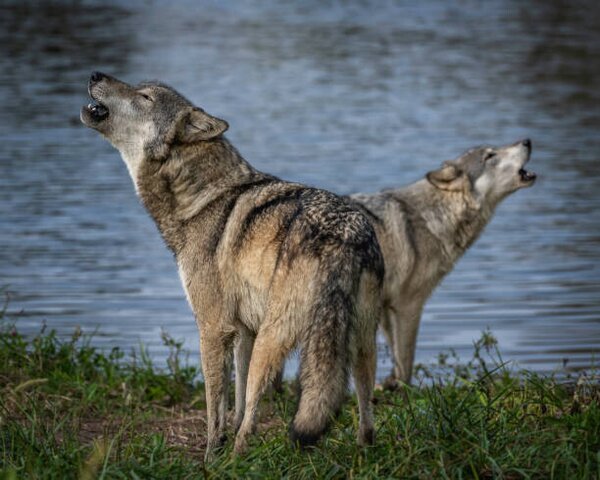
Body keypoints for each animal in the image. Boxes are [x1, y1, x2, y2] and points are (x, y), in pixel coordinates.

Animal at [81, 71, 384, 458]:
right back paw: (364, 452)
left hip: (274, 342)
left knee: (257, 406)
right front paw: (224, 443)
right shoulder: (243, 331)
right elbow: (235, 405)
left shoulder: (213, 329)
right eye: (139, 88)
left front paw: (213, 453)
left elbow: (217, 408)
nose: (95, 74)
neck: (201, 199)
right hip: (361, 343)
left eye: (144, 97)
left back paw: (238, 459)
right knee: (365, 408)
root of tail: (345, 235)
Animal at [350, 138, 536, 386]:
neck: (432, 216)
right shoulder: (408, 305)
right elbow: (406, 362)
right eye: (489, 156)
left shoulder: (386, 306)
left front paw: (390, 386)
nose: (527, 141)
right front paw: (406, 391)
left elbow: (396, 359)